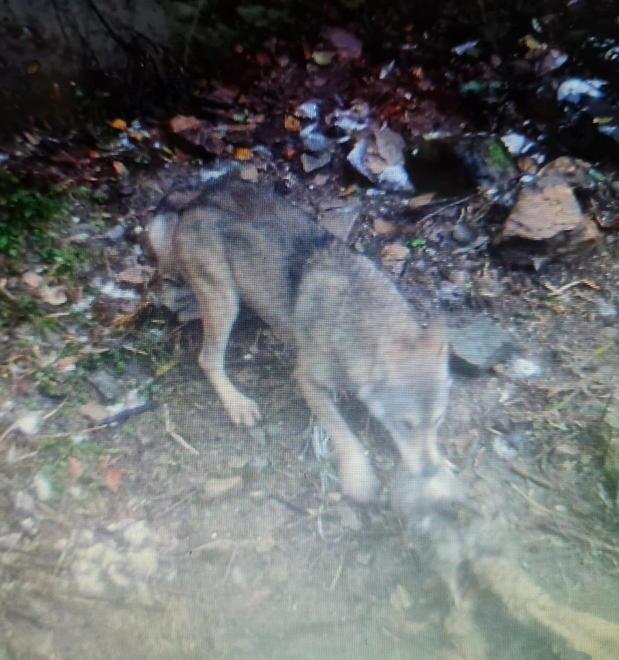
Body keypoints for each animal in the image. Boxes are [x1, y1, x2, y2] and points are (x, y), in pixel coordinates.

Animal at [148, 176, 450, 502]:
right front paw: (359, 476)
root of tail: (197, 197)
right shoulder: (307, 381)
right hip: (225, 301)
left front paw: (443, 463)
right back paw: (238, 404)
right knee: (208, 359)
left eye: (437, 421)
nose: (430, 472)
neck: (355, 315)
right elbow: (345, 434)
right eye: (406, 424)